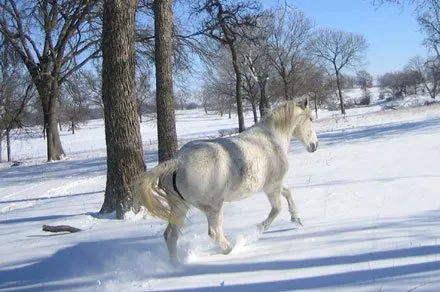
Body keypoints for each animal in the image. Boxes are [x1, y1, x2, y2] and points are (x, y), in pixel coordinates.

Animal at [132, 98, 318, 264]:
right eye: (310, 118)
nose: (315, 146)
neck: (271, 139)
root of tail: (177, 161)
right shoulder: (271, 188)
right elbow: (276, 210)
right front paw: (258, 230)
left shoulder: (275, 186)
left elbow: (288, 193)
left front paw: (297, 219)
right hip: (213, 207)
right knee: (214, 232)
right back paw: (233, 247)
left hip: (179, 207)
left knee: (171, 235)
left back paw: (176, 265)